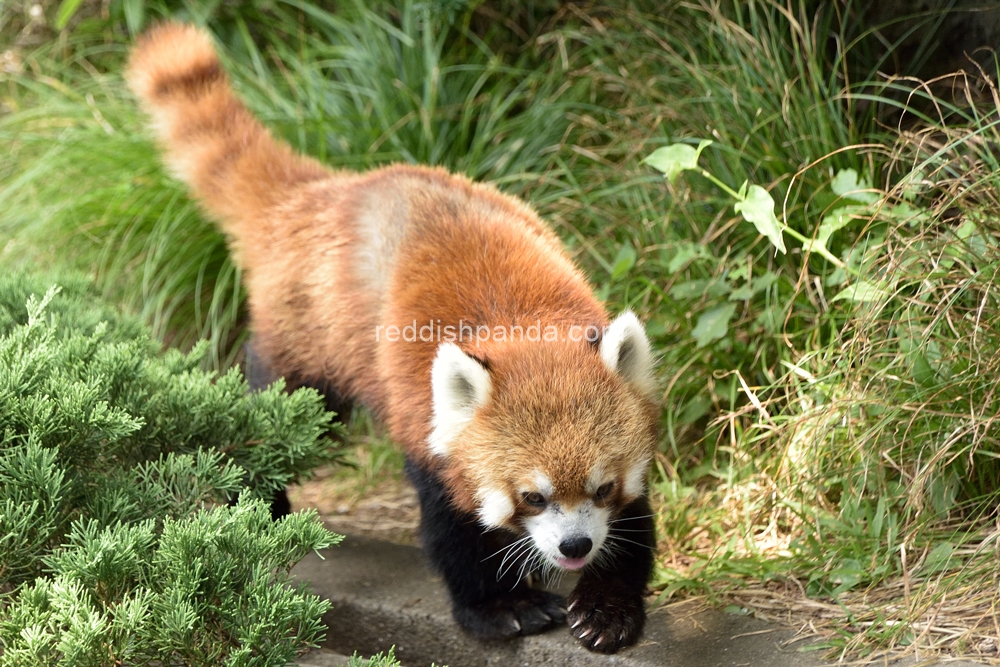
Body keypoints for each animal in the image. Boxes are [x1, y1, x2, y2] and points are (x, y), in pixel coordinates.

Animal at [129, 20, 664, 652]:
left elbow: (633, 526)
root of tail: (319, 195)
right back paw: (255, 510)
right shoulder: (420, 408)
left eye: (602, 489)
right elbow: (451, 526)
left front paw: (607, 606)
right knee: (277, 416)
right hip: (312, 345)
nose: (574, 546)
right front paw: (501, 606)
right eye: (532, 497)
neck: (523, 326)